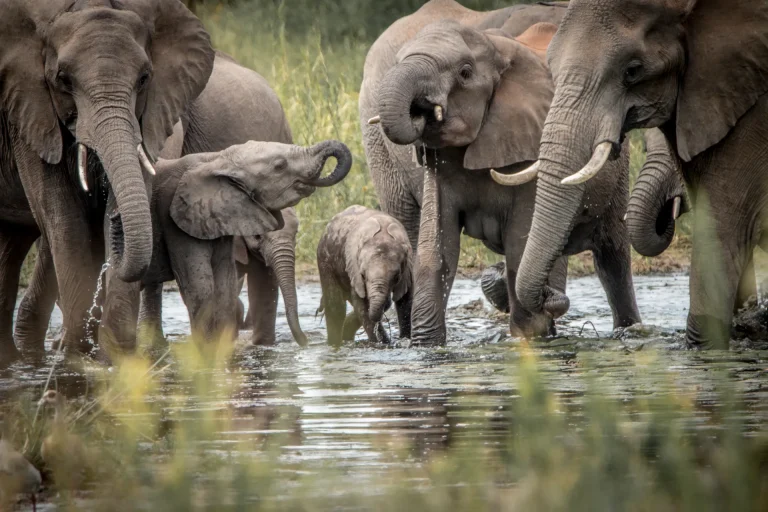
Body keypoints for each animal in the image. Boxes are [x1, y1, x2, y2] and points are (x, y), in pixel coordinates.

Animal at [0, 0, 215, 360]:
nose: (115, 221)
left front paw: (115, 355)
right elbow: (64, 220)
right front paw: (76, 355)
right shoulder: (27, 112)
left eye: (144, 78)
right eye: (63, 79)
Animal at [99, 139, 352, 350]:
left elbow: (229, 285)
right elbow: (201, 286)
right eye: (280, 166)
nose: (308, 343)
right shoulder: (176, 220)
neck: (218, 159)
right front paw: (204, 356)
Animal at [317, 206, 413, 347]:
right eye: (362, 274)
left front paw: (404, 340)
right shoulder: (354, 268)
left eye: (396, 276)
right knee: (335, 306)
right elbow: (361, 305)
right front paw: (381, 345)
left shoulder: (408, 268)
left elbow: (405, 301)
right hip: (324, 259)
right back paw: (335, 344)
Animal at [372, 18, 641, 344]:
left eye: (465, 72)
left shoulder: (530, 148)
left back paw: (628, 330)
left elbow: (519, 244)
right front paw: (427, 345)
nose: (418, 111)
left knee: (612, 258)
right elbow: (437, 251)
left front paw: (527, 341)